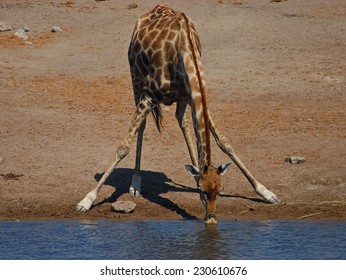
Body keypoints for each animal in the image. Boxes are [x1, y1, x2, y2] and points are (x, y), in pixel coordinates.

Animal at [75, 3, 278, 223]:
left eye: (219, 190)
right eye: (204, 190)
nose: (211, 218)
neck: (184, 48)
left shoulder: (189, 95)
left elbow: (224, 141)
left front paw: (266, 192)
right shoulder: (149, 96)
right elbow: (123, 147)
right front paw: (87, 200)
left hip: (177, 99)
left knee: (183, 123)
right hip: (136, 79)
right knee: (142, 127)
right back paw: (135, 184)